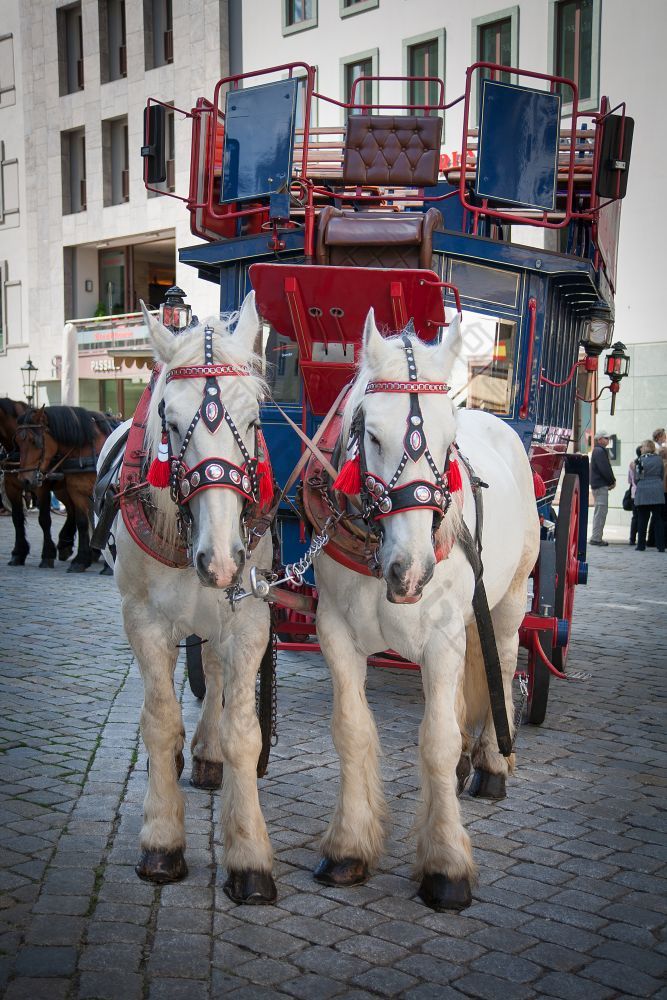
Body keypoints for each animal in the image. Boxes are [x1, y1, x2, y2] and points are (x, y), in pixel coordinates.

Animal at [0, 400, 77, 572]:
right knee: (72, 510)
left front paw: (47, 555)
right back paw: (66, 543)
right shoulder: (11, 486)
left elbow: (44, 519)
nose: (26, 480)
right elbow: (17, 518)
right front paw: (18, 553)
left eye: (35, 441)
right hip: (63, 489)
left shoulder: (42, 488)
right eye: (17, 441)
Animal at [15, 404, 117, 576]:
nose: (24, 480)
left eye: (34, 441)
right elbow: (82, 523)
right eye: (17, 442)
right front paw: (80, 560)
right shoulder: (77, 492)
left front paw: (109, 566)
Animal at [98, 292, 276, 904]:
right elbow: (158, 720)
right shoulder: (141, 621)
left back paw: (206, 753)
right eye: (170, 423)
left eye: (254, 419)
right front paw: (162, 840)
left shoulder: (249, 620)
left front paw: (249, 855)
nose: (219, 560)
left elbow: (244, 731)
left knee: (216, 678)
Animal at [314, 308, 544, 912]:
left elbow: (436, 741)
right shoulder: (335, 633)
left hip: (511, 598)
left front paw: (445, 866)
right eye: (371, 434)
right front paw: (348, 847)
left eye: (447, 442)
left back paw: (490, 763)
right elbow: (351, 730)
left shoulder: (441, 640)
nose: (412, 570)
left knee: (503, 663)